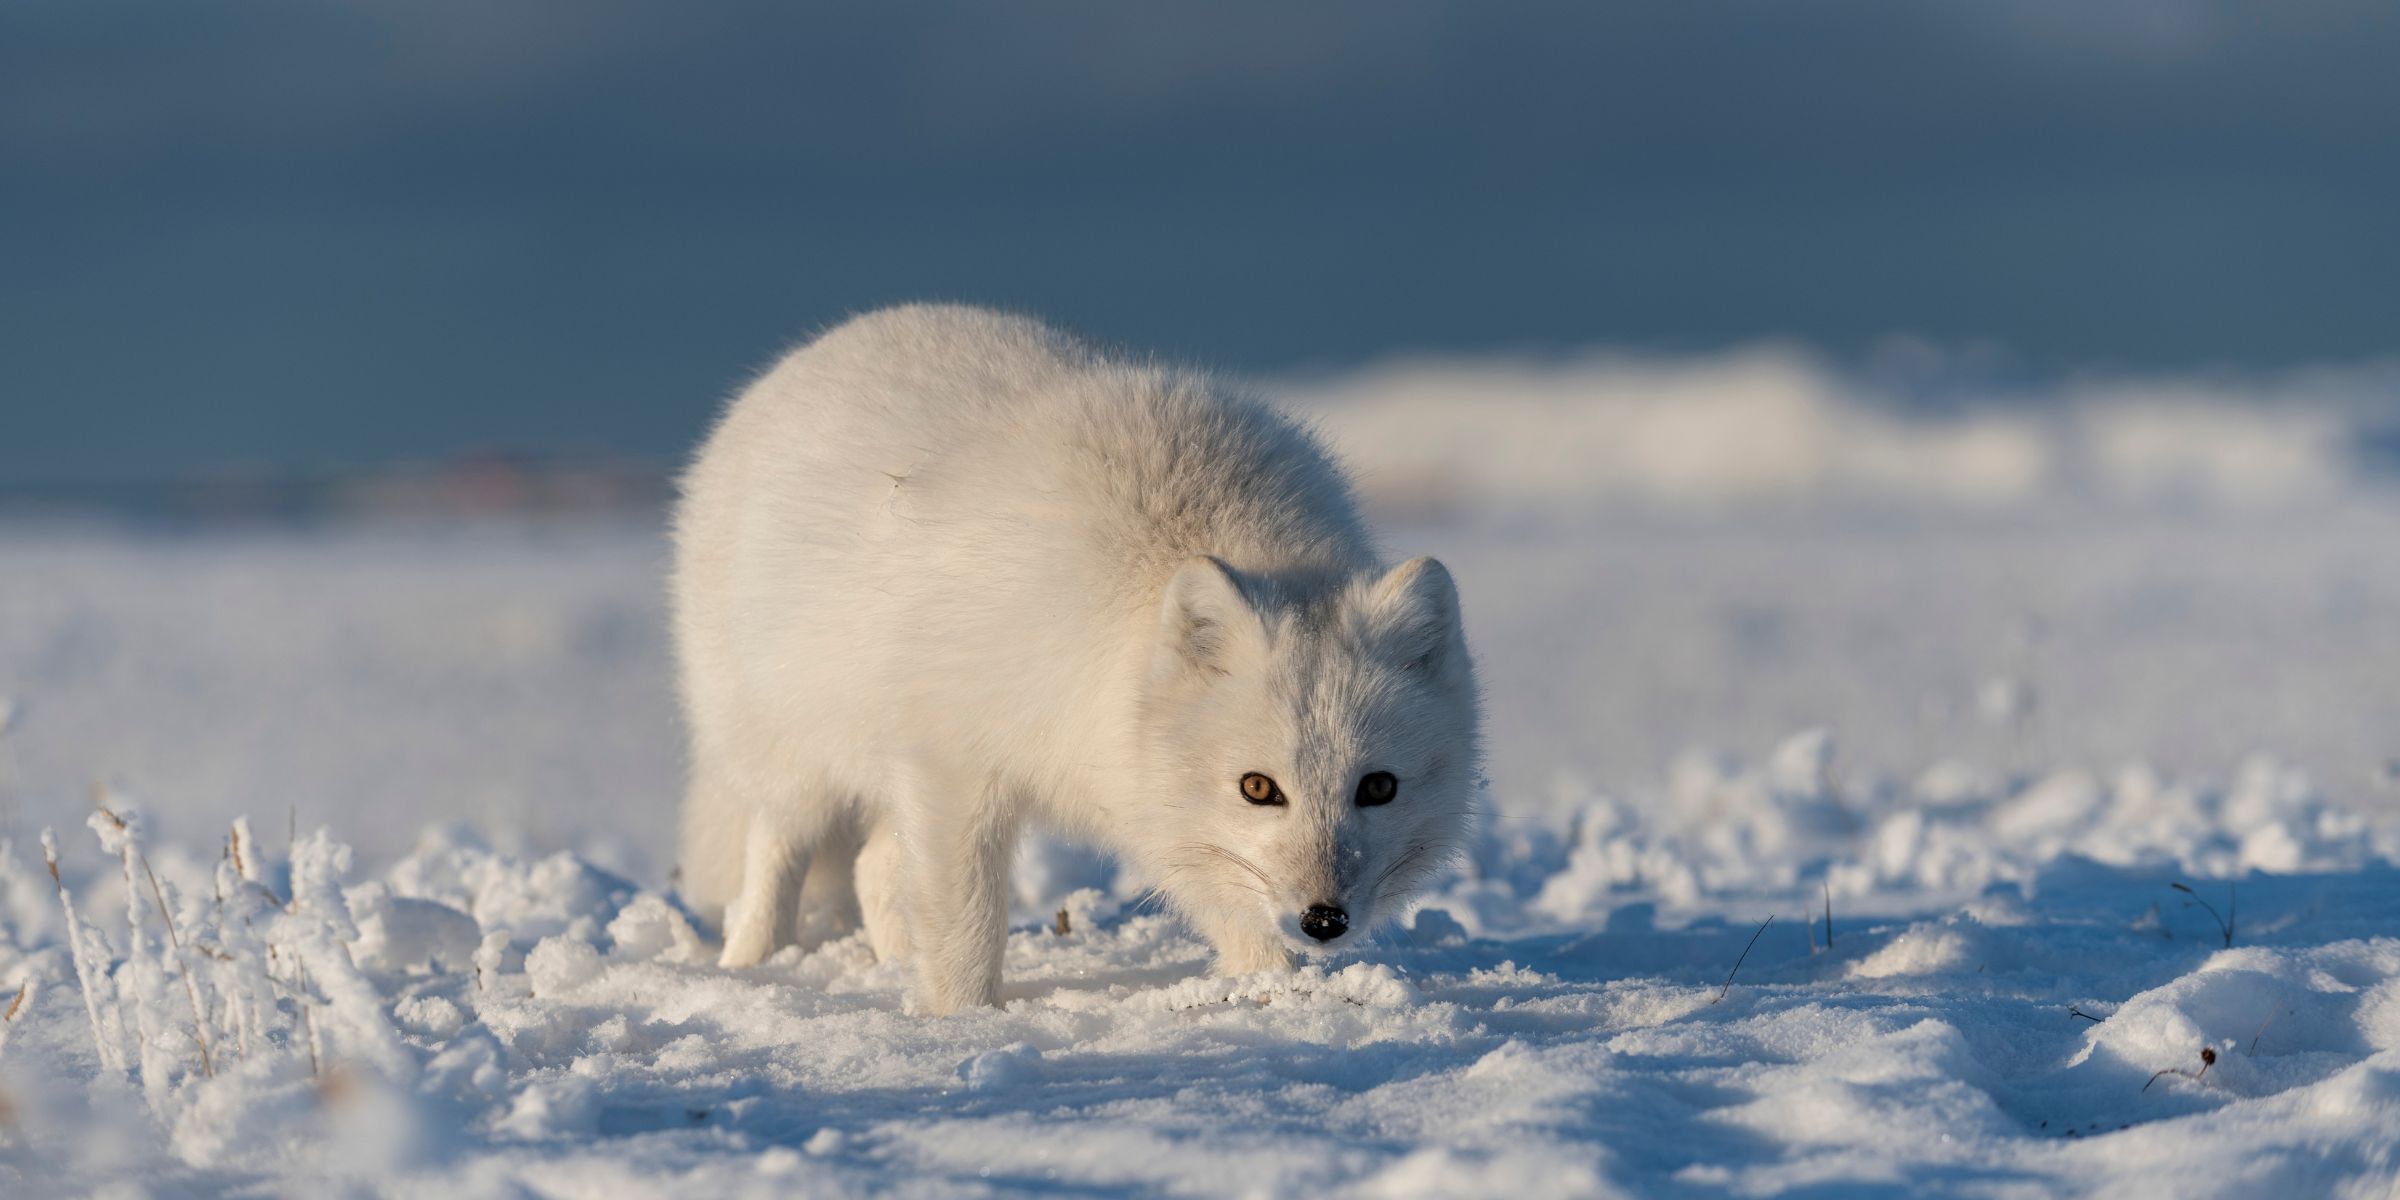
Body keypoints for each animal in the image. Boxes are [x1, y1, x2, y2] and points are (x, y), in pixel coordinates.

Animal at [672, 304, 1482, 1014]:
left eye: (1378, 788)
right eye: (1258, 788)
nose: (1324, 921)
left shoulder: (1158, 806)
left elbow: (1238, 914)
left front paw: (1273, 997)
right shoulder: (952, 765)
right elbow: (967, 922)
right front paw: (960, 1021)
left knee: (873, 871)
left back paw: (893, 967)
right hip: (789, 752)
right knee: (777, 854)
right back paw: (755, 967)